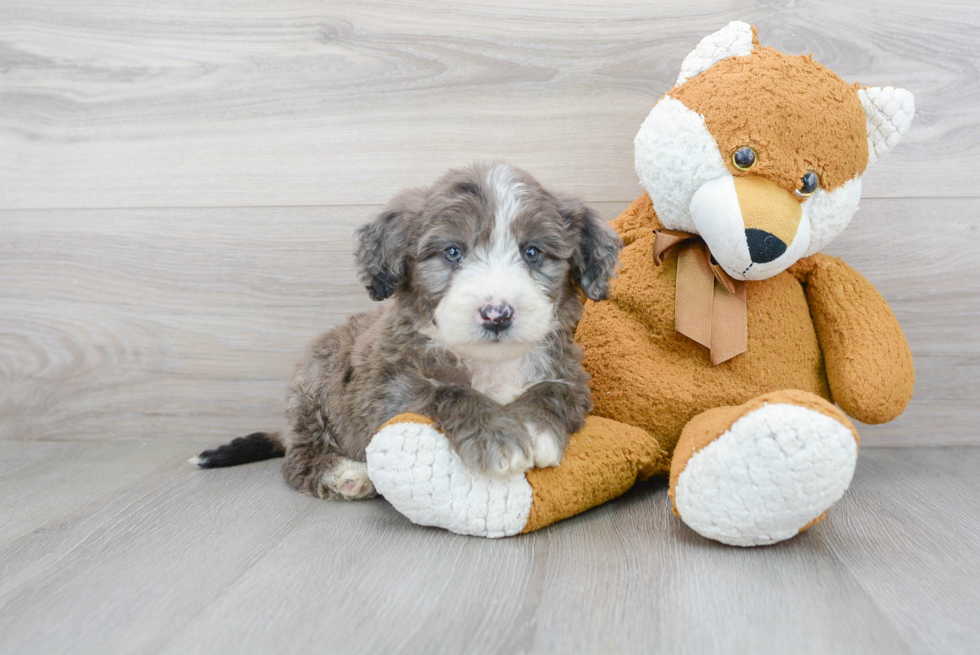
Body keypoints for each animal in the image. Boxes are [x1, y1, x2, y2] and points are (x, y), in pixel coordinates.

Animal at [193, 161, 620, 500]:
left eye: (532, 253)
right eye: (452, 252)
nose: (496, 314)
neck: (488, 361)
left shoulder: (572, 375)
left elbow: (553, 390)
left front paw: (533, 427)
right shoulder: (392, 394)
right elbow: (447, 392)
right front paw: (496, 436)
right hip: (313, 395)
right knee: (297, 462)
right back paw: (344, 474)